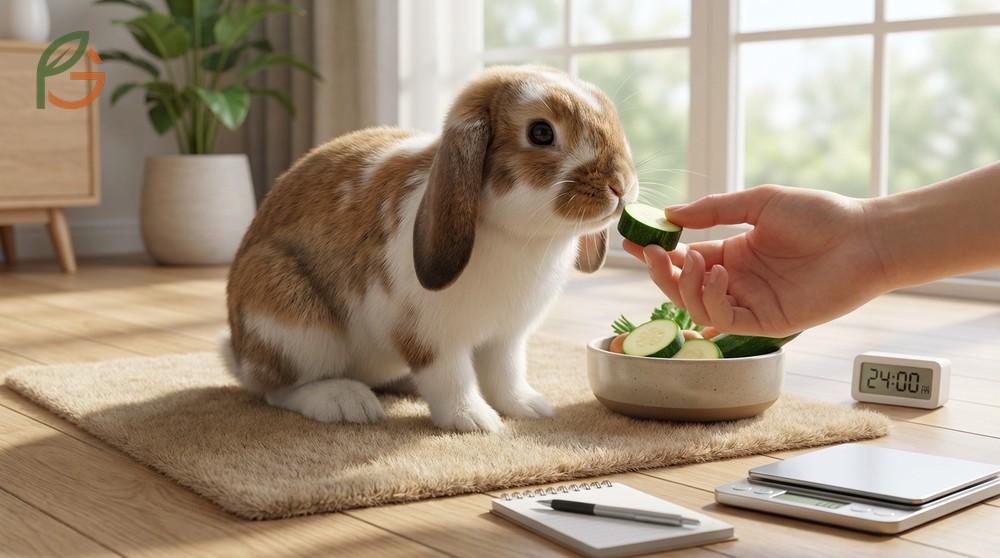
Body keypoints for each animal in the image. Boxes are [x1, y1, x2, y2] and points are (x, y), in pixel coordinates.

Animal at [222, 65, 638, 432]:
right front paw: (475, 421)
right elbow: (450, 378)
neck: (518, 236)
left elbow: (505, 375)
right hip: (292, 323)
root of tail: (239, 353)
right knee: (278, 389)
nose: (620, 186)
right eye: (540, 132)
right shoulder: (431, 337)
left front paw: (529, 408)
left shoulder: (506, 338)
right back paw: (346, 402)